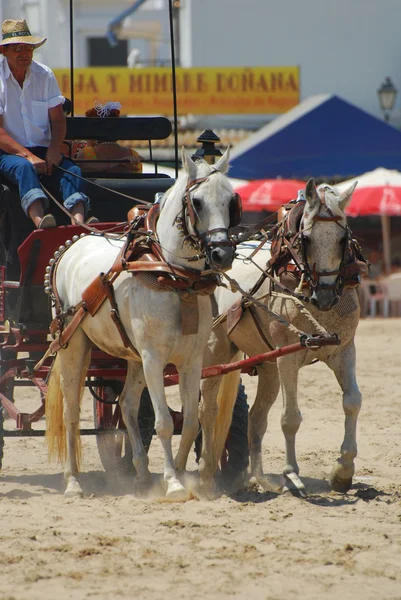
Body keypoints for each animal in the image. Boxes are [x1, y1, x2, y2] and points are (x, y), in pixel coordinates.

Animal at [44, 148, 238, 500]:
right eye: (197, 201)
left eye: (232, 200)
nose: (222, 254)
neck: (175, 278)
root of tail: (72, 244)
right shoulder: (154, 359)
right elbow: (164, 422)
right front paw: (173, 482)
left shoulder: (191, 361)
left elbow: (191, 422)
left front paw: (179, 473)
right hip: (74, 345)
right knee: (70, 412)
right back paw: (73, 481)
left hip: (132, 358)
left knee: (126, 405)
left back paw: (142, 474)